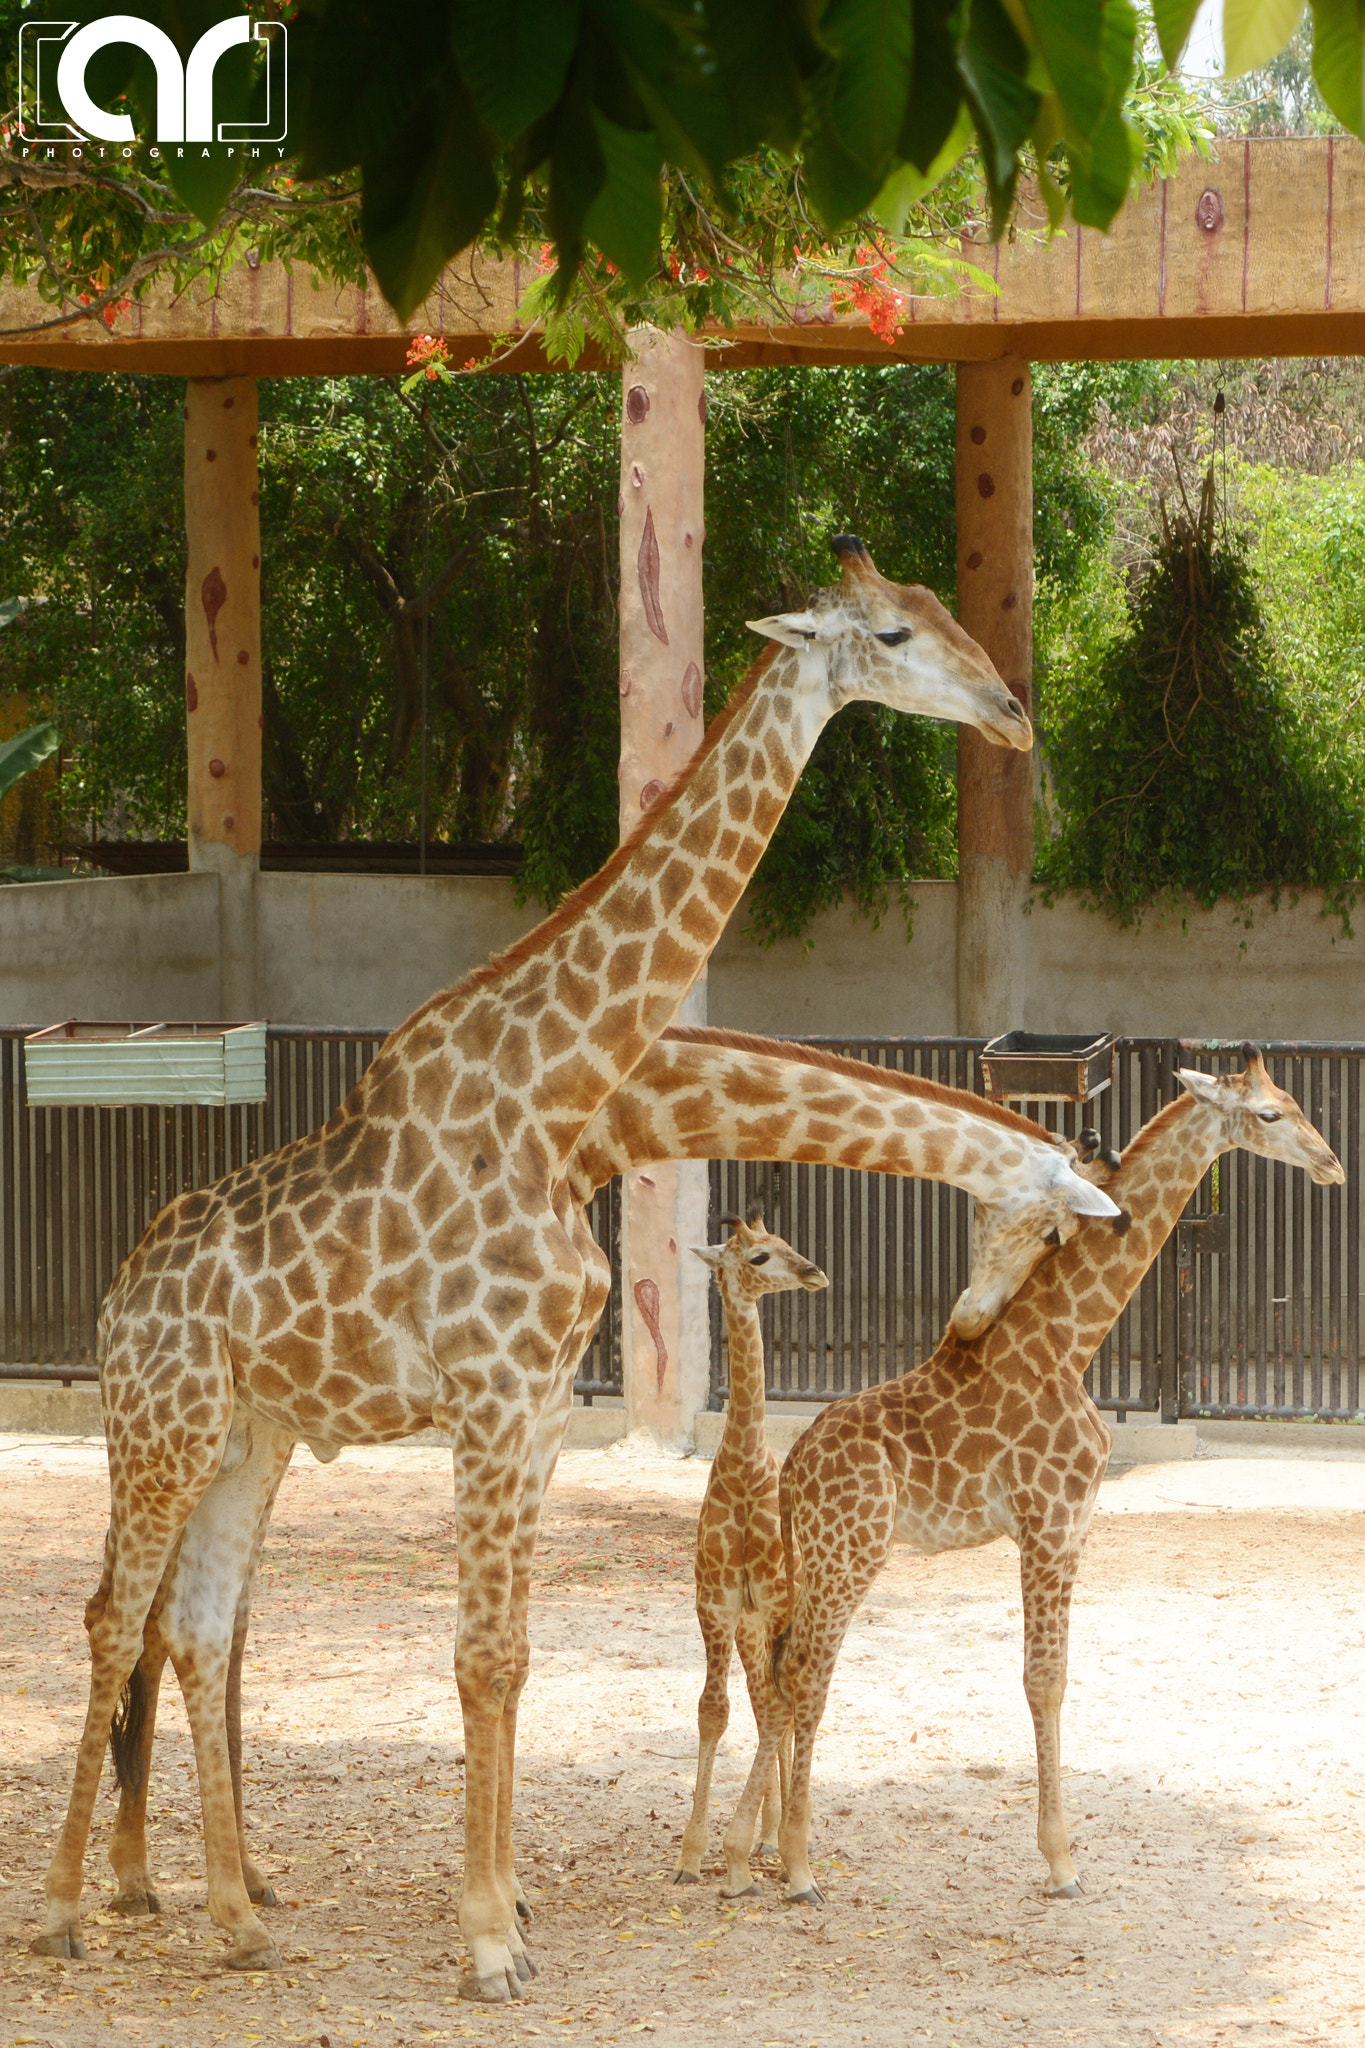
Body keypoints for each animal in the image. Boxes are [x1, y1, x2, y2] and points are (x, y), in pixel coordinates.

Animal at [721, 1045, 1343, 1907]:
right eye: (1268, 1114)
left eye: (1290, 1102)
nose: (1331, 1165)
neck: (1067, 1345)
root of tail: (793, 1474)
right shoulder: (1045, 1523)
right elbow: (1041, 1678)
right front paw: (1060, 1862)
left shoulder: (1074, 1526)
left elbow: (1056, 1674)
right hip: (853, 1551)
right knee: (806, 1669)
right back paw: (796, 1865)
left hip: (816, 1555)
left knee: (780, 1663)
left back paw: (752, 1852)